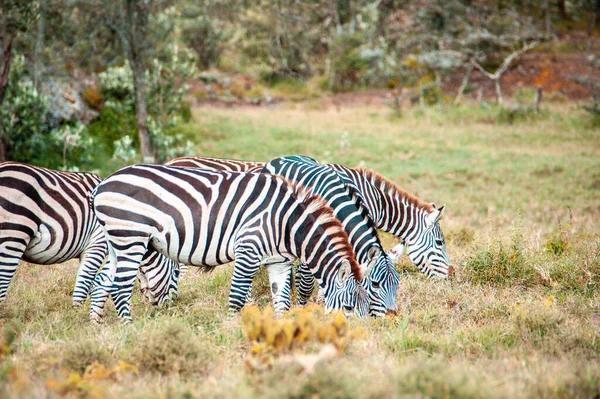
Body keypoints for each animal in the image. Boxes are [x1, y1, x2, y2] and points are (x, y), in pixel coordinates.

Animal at [0, 162, 179, 310]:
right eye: (176, 273)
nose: (172, 306)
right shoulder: (97, 245)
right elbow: (83, 288)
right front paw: (78, 318)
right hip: (13, 235)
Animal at [90, 164, 370, 324]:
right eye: (348, 307)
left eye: (366, 306)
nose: (360, 337)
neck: (286, 223)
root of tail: (103, 184)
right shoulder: (249, 250)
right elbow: (237, 298)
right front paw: (233, 330)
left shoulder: (279, 262)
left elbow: (281, 303)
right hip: (131, 237)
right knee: (120, 287)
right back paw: (129, 327)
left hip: (116, 241)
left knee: (103, 281)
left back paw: (99, 326)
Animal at [262, 155, 398, 316]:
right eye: (375, 284)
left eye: (397, 283)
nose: (391, 315)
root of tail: (284, 157)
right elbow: (307, 284)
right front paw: (303, 309)